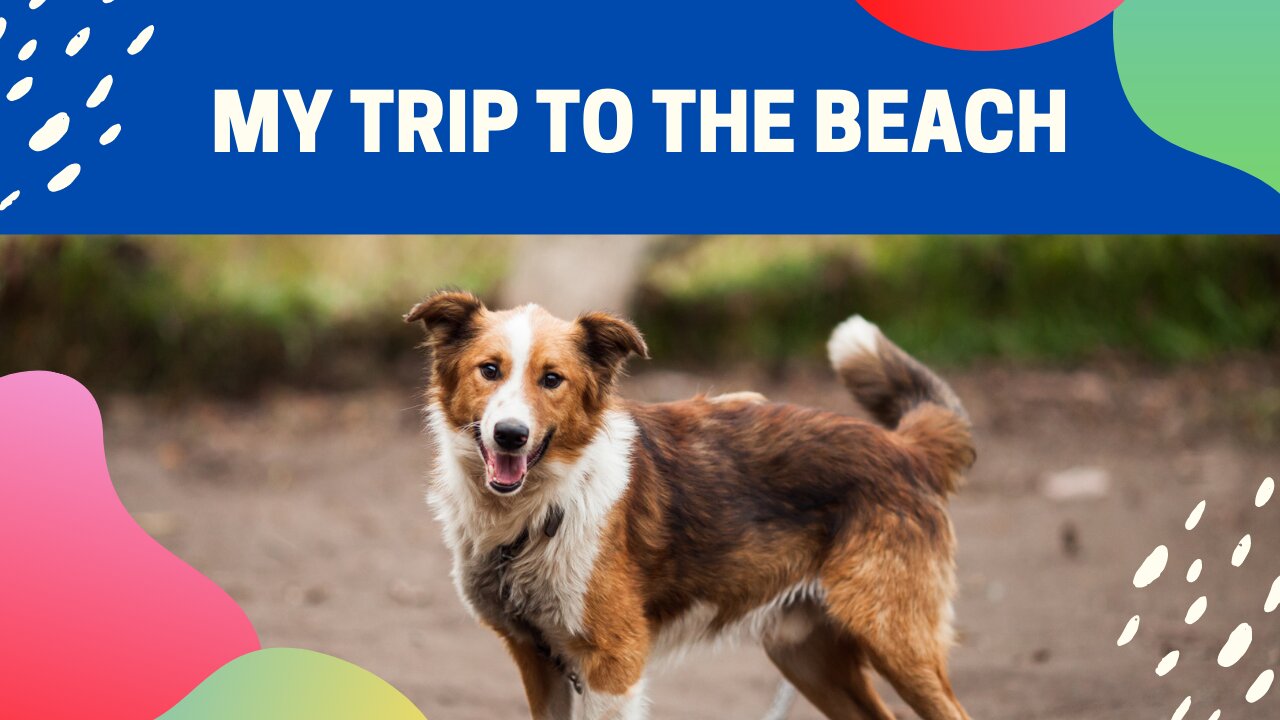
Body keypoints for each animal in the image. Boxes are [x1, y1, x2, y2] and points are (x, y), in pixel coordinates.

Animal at [404, 288, 972, 712]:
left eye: (551, 379)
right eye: (489, 370)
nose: (510, 435)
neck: (541, 512)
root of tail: (906, 448)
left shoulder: (614, 664)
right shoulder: (536, 658)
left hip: (896, 641)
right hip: (805, 654)